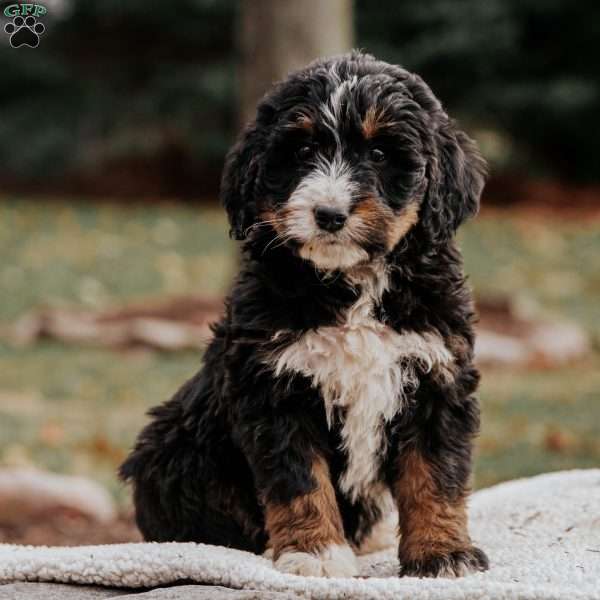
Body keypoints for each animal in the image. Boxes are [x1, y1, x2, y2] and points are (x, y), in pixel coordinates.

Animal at [119, 54, 490, 580]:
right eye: (302, 151)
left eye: (380, 154)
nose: (329, 214)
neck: (349, 283)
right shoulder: (274, 386)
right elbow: (299, 480)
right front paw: (314, 551)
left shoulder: (437, 375)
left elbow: (435, 475)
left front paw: (442, 552)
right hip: (173, 445)